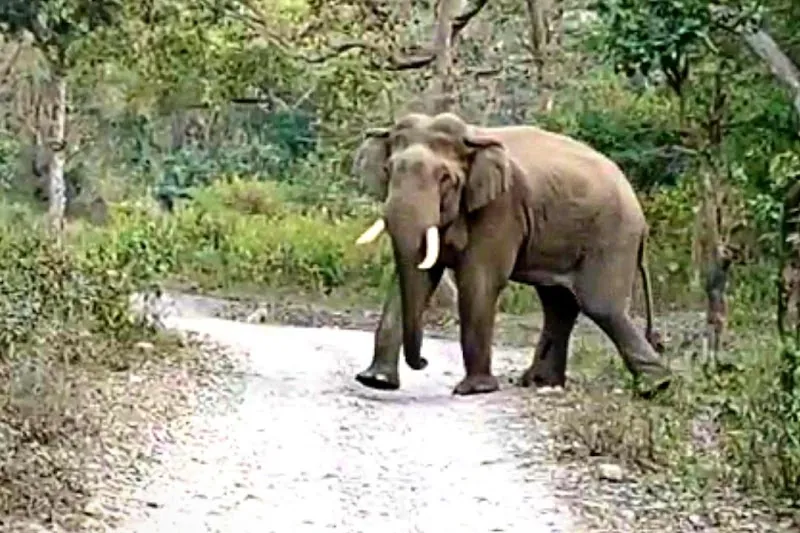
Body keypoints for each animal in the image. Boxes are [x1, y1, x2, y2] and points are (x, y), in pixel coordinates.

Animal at [351, 111, 673, 397]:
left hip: (613, 237)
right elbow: (416, 276)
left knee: (601, 305)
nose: (424, 362)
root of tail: (640, 213)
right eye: (388, 171)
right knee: (560, 303)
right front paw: (375, 381)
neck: (472, 139)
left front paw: (475, 390)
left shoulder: (501, 207)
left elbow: (479, 282)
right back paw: (541, 382)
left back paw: (655, 388)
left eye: (445, 179)